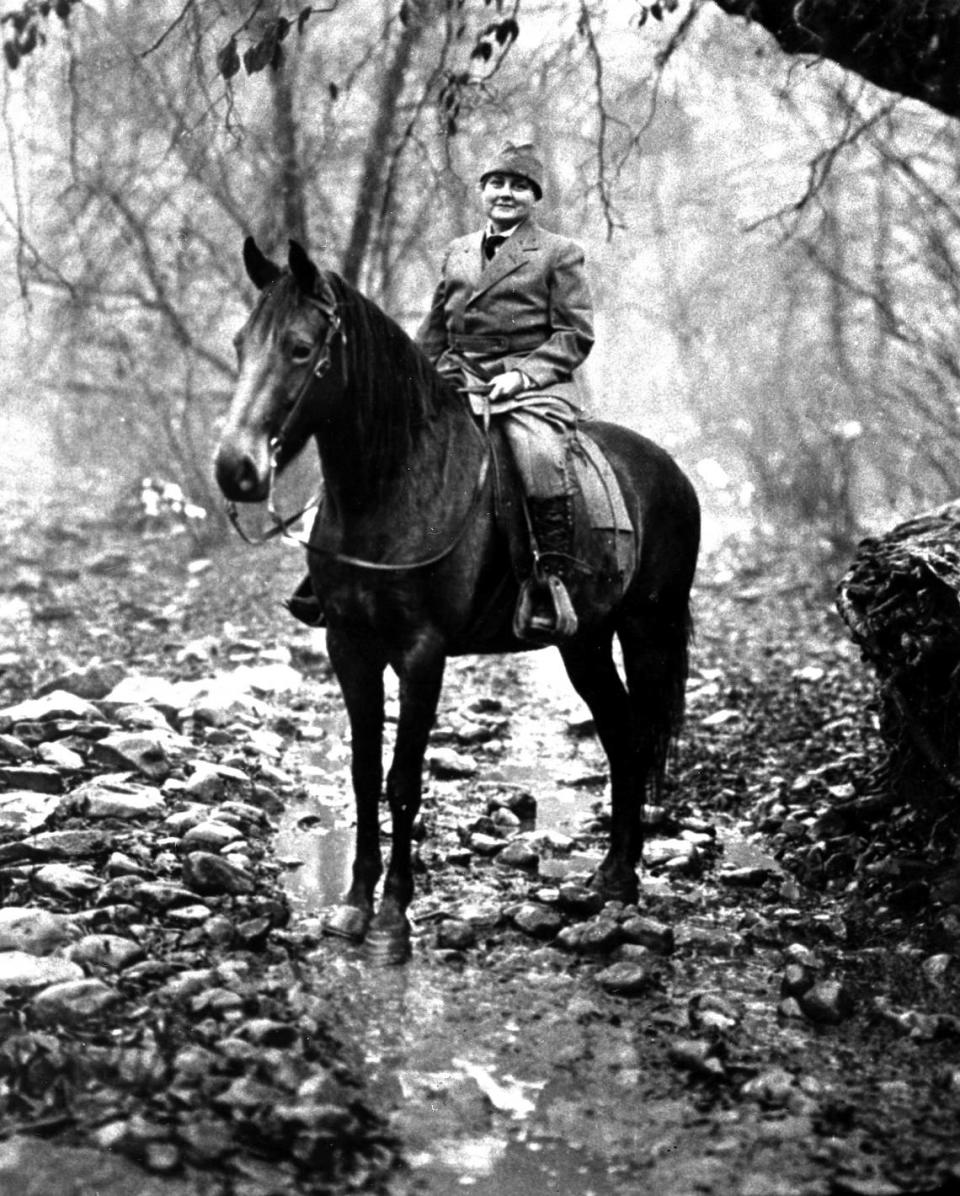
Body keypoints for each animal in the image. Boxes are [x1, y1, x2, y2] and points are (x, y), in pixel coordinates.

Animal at [216, 240, 698, 961]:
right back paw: (611, 876)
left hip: (646, 631)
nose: (235, 469)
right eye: (242, 344)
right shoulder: (349, 647)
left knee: (636, 735)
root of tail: (668, 469)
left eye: (301, 349)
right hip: (584, 641)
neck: (393, 487)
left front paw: (392, 917)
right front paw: (354, 906)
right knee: (618, 735)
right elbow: (363, 774)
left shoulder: (423, 654)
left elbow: (403, 782)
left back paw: (626, 880)